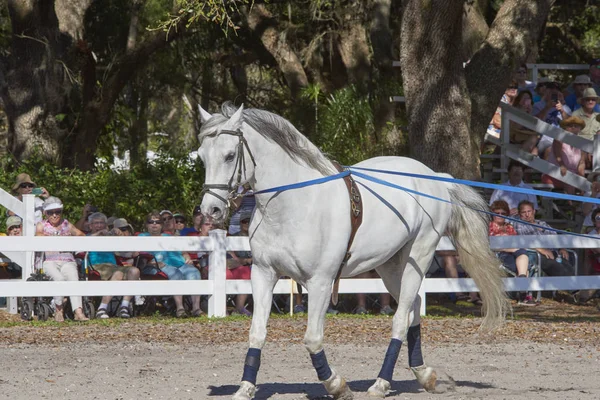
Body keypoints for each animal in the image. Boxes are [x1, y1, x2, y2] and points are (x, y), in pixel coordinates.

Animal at [197, 103, 506, 400]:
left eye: (229, 156)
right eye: (201, 156)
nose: (211, 210)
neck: (293, 204)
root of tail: (434, 177)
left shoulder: (321, 282)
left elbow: (312, 338)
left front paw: (336, 385)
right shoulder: (263, 274)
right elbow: (257, 333)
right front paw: (245, 389)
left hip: (418, 256)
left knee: (400, 318)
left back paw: (381, 384)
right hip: (390, 265)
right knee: (413, 308)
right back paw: (423, 374)